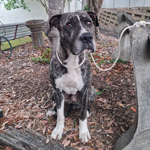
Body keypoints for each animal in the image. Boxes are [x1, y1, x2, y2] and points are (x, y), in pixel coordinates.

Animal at [46, 11, 98, 142]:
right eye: (69, 24)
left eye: (89, 22)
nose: (87, 37)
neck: (72, 61)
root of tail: (72, 103)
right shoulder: (58, 91)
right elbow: (60, 115)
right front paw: (58, 130)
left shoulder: (85, 91)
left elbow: (82, 115)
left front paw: (83, 132)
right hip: (53, 93)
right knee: (57, 105)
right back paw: (52, 109)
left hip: (92, 91)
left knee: (85, 105)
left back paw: (88, 110)